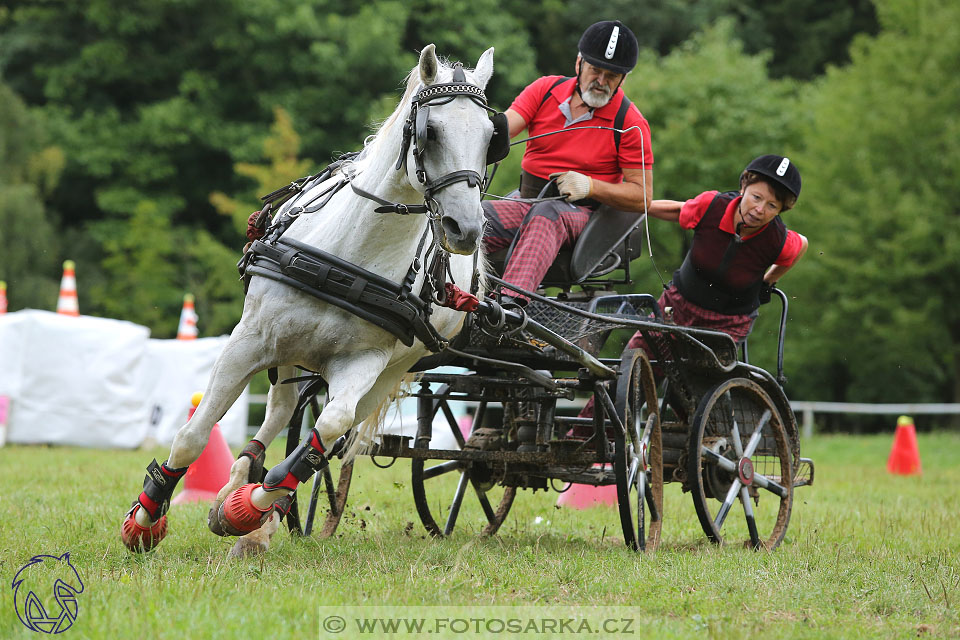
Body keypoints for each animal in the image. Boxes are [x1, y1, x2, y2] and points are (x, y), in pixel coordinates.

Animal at [123, 45, 498, 556]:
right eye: (431, 131)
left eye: (490, 137)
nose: (466, 229)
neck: (352, 254)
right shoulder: (249, 339)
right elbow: (193, 434)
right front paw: (145, 519)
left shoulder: (366, 361)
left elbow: (328, 429)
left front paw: (252, 509)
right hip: (287, 348)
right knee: (279, 410)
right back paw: (237, 482)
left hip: (394, 368)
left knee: (331, 433)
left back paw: (255, 518)